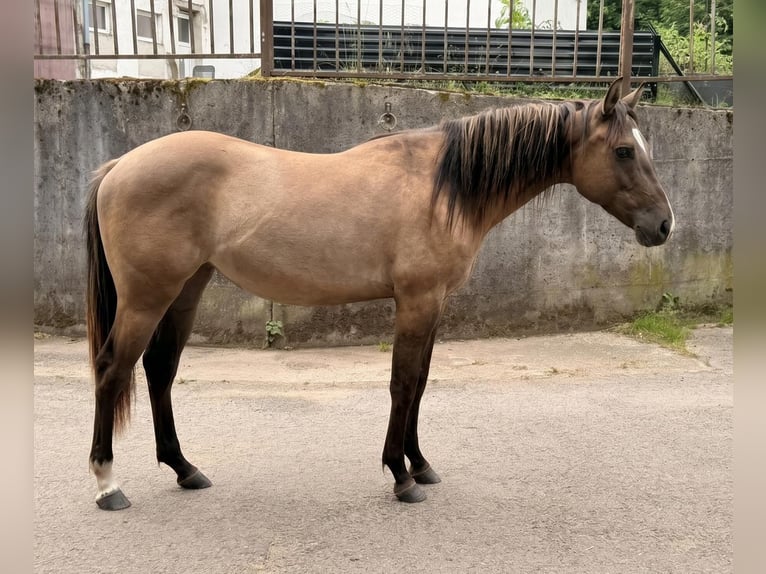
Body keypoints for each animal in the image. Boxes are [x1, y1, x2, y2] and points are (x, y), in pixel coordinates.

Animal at [84, 77, 674, 510]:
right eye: (625, 151)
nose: (664, 225)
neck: (444, 185)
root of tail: (119, 166)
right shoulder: (416, 301)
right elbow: (402, 383)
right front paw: (400, 475)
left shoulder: (434, 304)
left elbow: (421, 383)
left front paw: (421, 464)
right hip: (146, 298)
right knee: (113, 370)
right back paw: (108, 484)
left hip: (186, 289)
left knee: (159, 370)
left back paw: (185, 469)